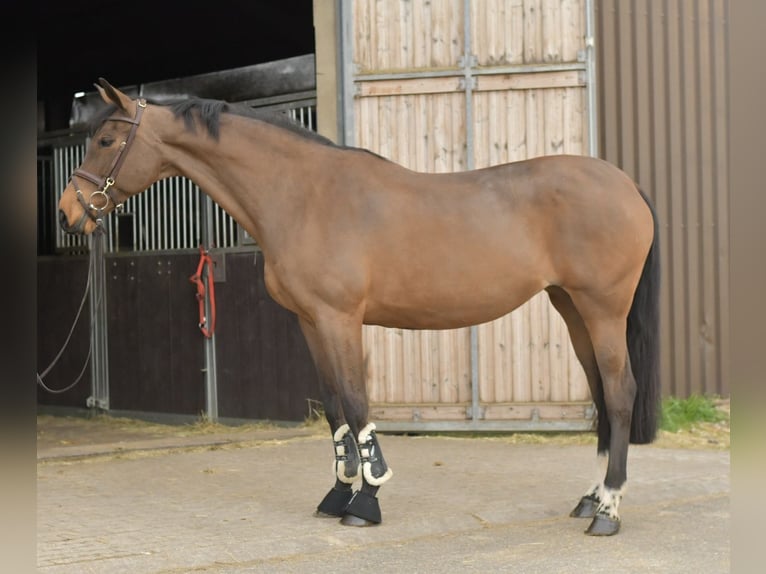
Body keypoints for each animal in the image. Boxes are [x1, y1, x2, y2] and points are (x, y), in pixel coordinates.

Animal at [58, 78, 660, 536]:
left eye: (107, 138)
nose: (68, 213)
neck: (304, 195)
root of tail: (626, 184)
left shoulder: (339, 318)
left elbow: (355, 401)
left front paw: (366, 503)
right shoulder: (309, 321)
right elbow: (333, 408)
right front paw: (337, 494)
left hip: (603, 308)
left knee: (620, 392)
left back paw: (608, 511)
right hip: (571, 308)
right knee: (601, 393)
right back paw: (590, 498)